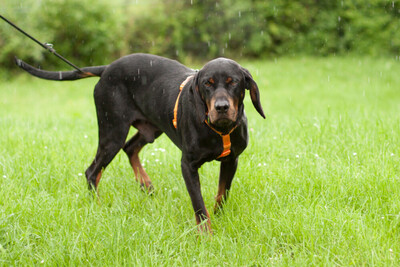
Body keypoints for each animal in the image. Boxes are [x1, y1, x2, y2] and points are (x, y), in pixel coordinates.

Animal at [15, 54, 266, 232]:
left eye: (234, 82)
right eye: (207, 83)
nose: (221, 107)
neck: (219, 129)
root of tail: (107, 69)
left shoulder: (232, 159)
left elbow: (222, 194)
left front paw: (220, 218)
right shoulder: (188, 165)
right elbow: (199, 205)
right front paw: (206, 235)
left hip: (150, 128)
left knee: (130, 148)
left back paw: (146, 184)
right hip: (113, 131)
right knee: (93, 171)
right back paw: (97, 207)